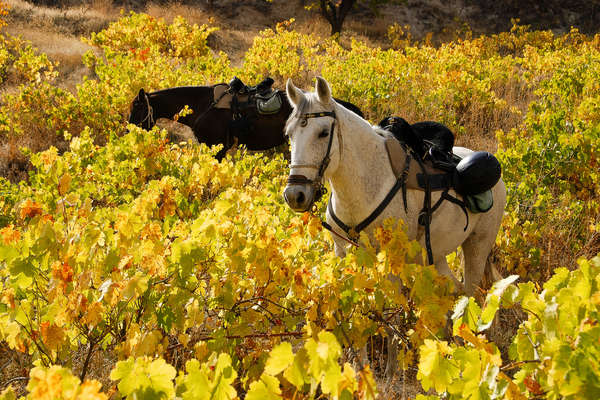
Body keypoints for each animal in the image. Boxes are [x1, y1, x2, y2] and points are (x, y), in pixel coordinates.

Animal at [284, 77, 506, 376]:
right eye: (290, 134)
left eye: (322, 133)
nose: (295, 195)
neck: (367, 184)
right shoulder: (345, 255)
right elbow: (357, 307)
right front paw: (359, 364)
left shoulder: (390, 261)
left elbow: (388, 310)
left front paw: (391, 369)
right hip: (435, 255)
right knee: (454, 291)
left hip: (477, 247)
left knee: (469, 294)